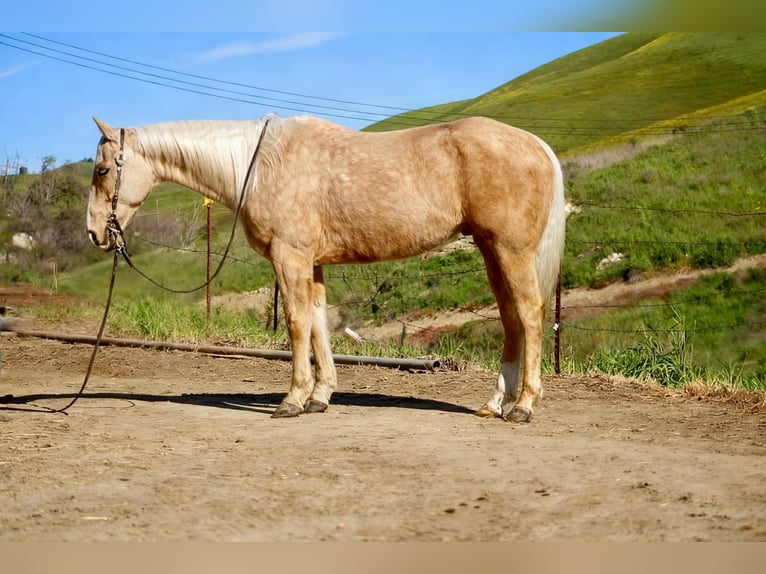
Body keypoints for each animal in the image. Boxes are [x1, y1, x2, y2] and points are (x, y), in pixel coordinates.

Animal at [87, 113, 565, 422]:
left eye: (102, 169)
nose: (94, 232)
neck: (259, 166)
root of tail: (539, 145)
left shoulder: (290, 257)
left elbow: (297, 324)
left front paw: (292, 400)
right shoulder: (312, 264)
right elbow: (318, 323)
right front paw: (319, 397)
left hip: (510, 250)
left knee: (529, 314)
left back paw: (523, 406)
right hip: (491, 250)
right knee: (511, 318)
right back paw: (495, 403)